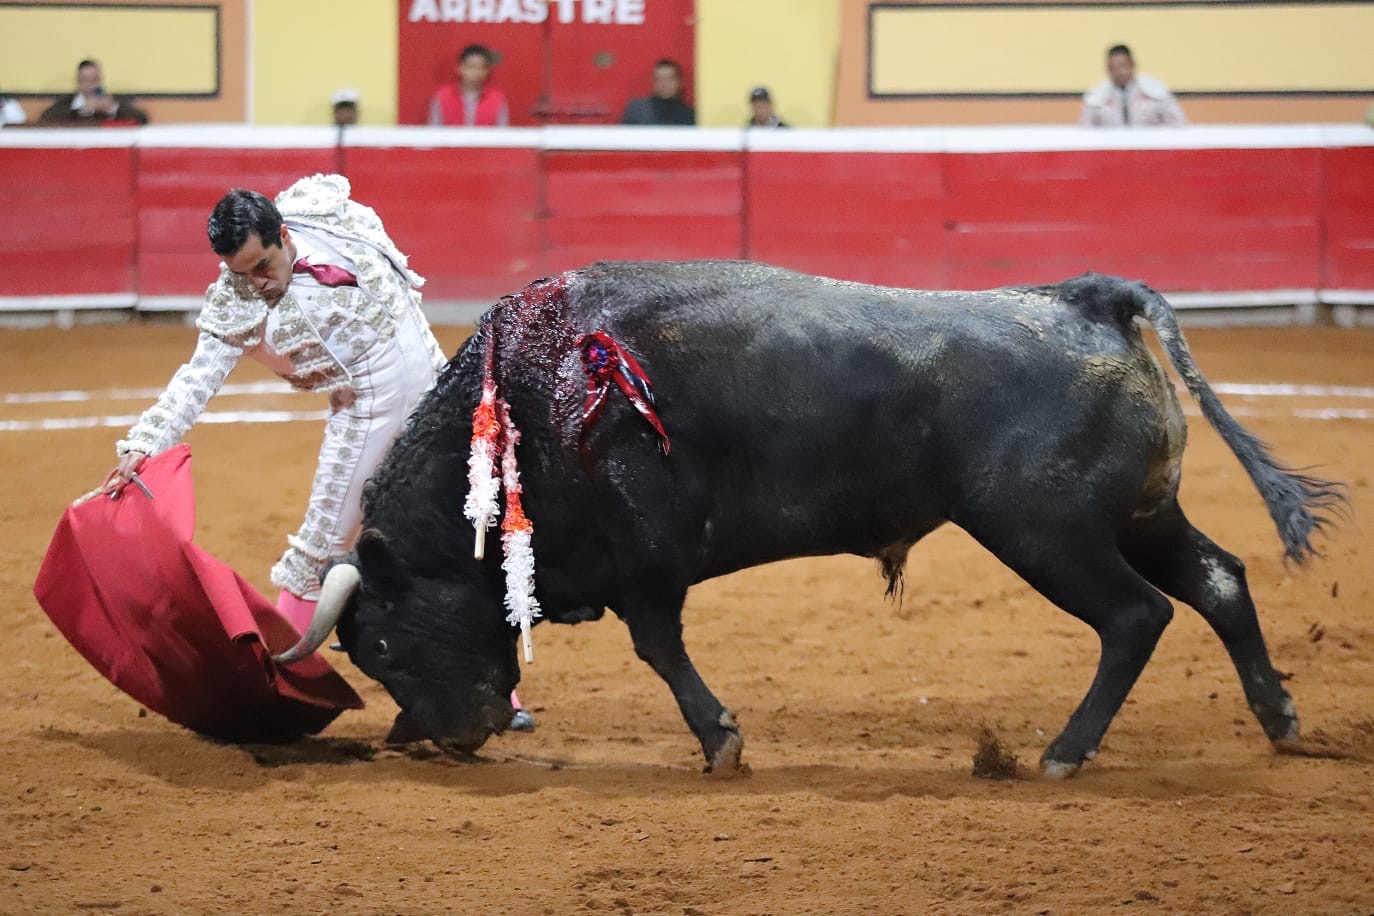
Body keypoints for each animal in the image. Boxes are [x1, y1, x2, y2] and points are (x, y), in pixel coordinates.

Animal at [278, 260, 1341, 780]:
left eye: (381, 645)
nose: (455, 739)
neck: (533, 400)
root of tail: (1090, 303)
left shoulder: (645, 562)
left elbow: (660, 649)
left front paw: (721, 742)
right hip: (1141, 517)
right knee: (1218, 581)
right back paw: (1284, 722)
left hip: (1049, 533)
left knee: (1135, 618)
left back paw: (1062, 753)